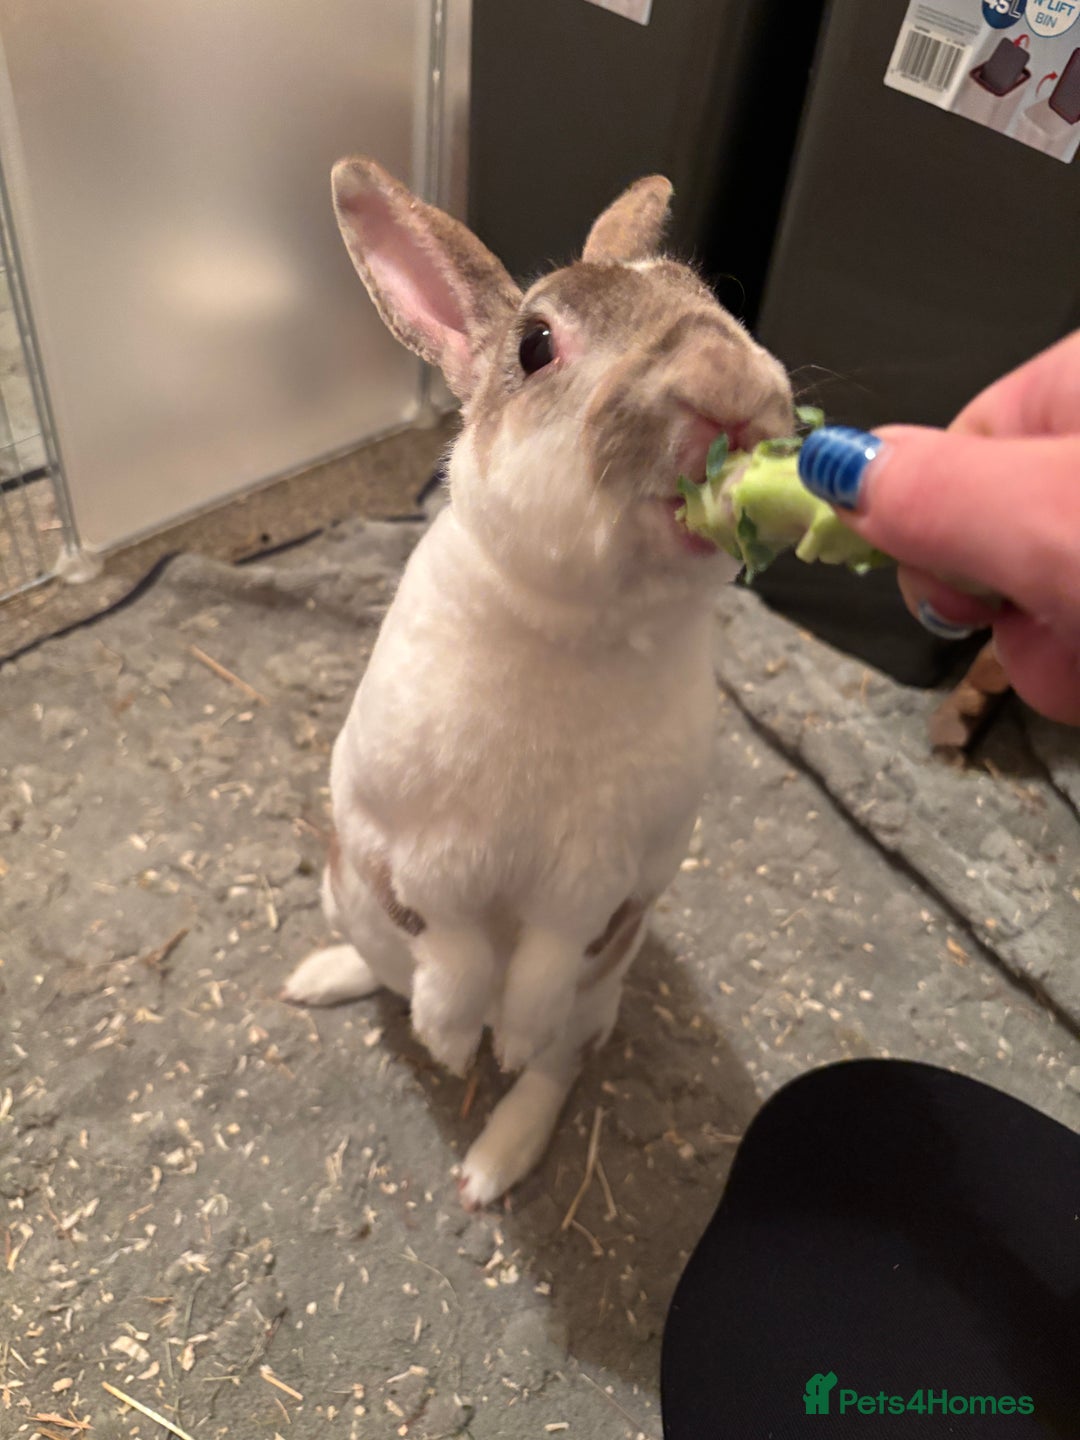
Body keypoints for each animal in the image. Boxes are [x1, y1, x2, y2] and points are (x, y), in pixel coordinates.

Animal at [282, 157, 793, 1210]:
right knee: (387, 961)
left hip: (603, 997)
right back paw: (325, 980)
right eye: (536, 344)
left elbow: (542, 969)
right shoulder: (405, 850)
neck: (574, 628)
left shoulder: (603, 887)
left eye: (709, 298)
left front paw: (500, 1044)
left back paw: (492, 1162)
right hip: (342, 887)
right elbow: (447, 944)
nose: (728, 384)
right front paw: (449, 1040)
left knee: (561, 1065)